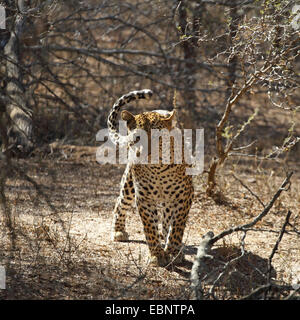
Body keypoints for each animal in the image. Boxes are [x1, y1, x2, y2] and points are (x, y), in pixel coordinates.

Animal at [108, 89, 195, 266]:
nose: (144, 154)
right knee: (120, 202)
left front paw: (173, 252)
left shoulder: (184, 196)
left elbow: (177, 227)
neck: (158, 169)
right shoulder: (144, 198)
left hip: (169, 199)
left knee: (167, 219)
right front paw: (157, 255)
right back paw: (118, 231)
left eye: (156, 137)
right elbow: (150, 228)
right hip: (129, 185)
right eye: (137, 137)